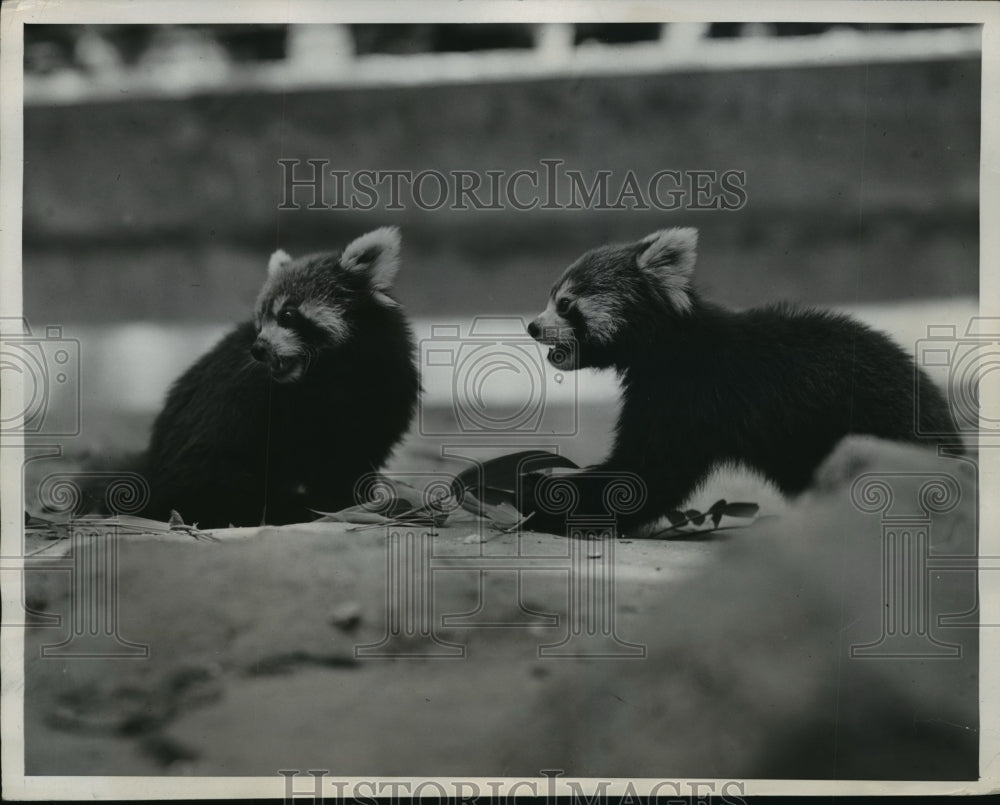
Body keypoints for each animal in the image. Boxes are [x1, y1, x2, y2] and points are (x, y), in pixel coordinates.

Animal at [137, 226, 418, 528]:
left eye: (287, 315)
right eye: (260, 321)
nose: (258, 349)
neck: (333, 373)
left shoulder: (386, 391)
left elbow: (358, 456)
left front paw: (351, 504)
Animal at [524, 226, 960, 532]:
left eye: (565, 303)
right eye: (550, 296)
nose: (531, 326)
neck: (670, 343)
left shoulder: (689, 395)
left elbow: (648, 472)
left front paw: (541, 499)